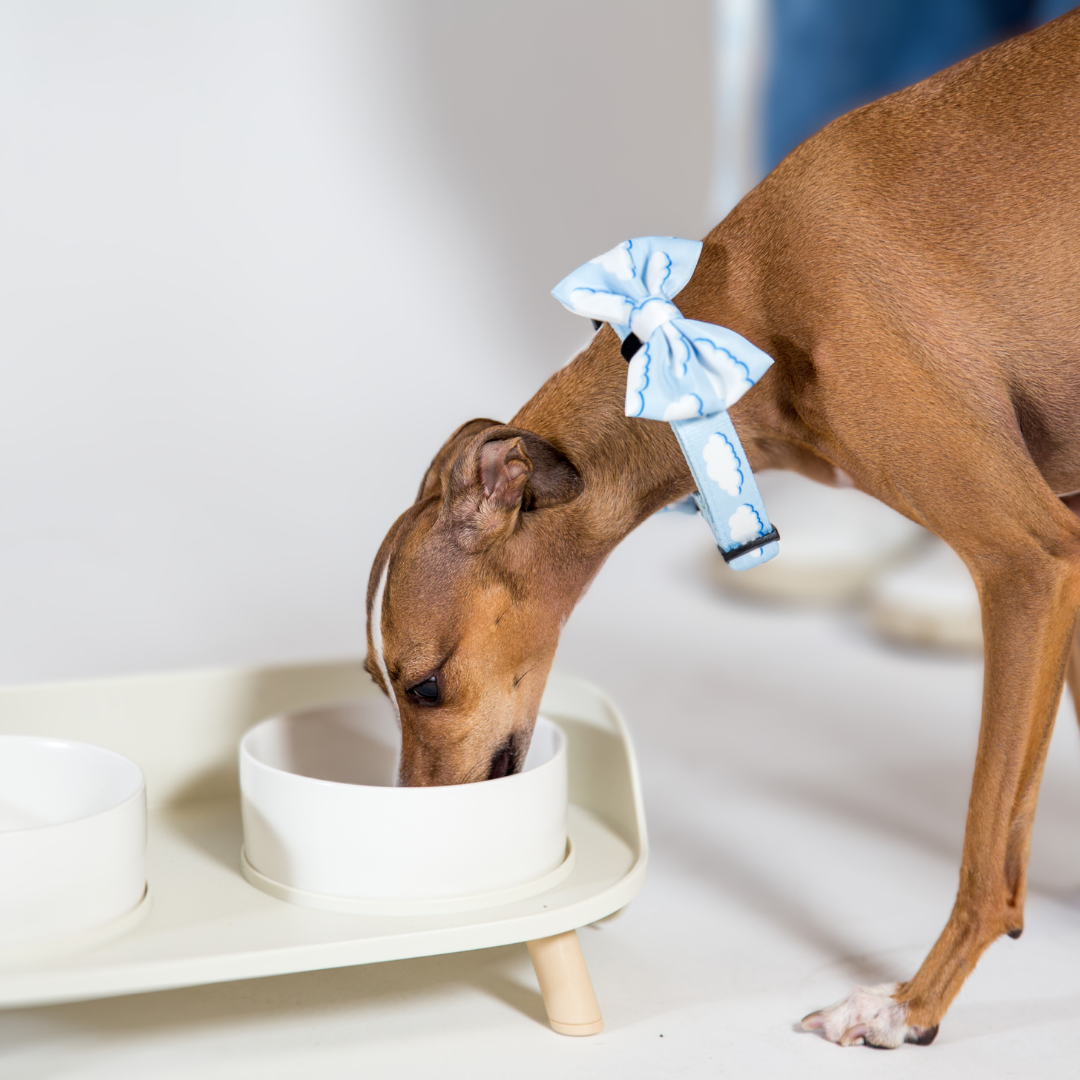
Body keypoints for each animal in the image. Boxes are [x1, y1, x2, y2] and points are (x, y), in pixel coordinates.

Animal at [365, 10, 1080, 1045]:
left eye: (423, 686)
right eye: (377, 684)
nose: (414, 830)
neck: (736, 309)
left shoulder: (1030, 562)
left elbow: (989, 846)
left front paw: (907, 1006)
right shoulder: (1074, 535)